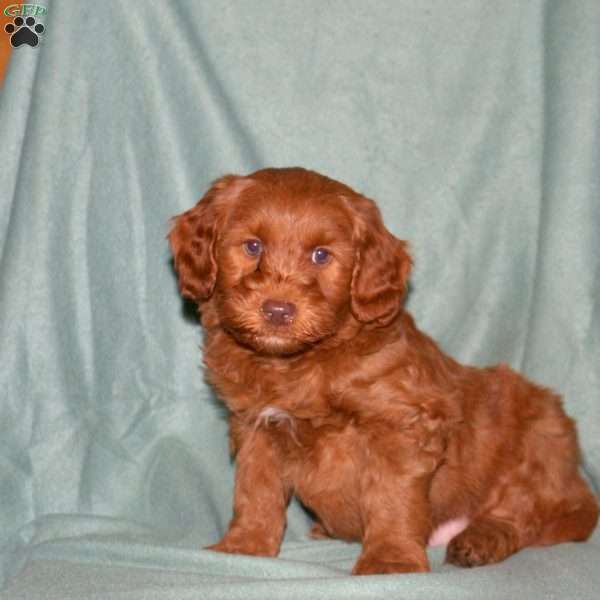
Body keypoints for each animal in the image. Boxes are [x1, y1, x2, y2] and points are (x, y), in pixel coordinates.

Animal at [168, 166, 596, 576]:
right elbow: (254, 490)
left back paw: (480, 541)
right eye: (253, 246)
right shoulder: (256, 426)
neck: (296, 363)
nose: (277, 310)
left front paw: (391, 560)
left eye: (321, 256)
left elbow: (391, 498)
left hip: (539, 439)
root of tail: (577, 485)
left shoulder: (402, 426)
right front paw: (244, 547)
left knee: (520, 514)